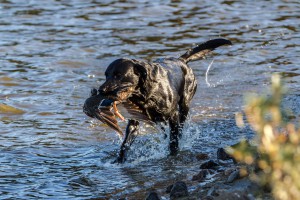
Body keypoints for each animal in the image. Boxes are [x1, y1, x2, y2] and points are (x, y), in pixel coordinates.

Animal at [86, 38, 232, 163]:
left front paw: (173, 154)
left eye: (118, 75)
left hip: (185, 105)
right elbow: (125, 143)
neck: (144, 96)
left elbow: (173, 139)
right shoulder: (134, 121)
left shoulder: (173, 115)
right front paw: (119, 160)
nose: (101, 90)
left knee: (180, 125)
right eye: (106, 75)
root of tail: (181, 60)